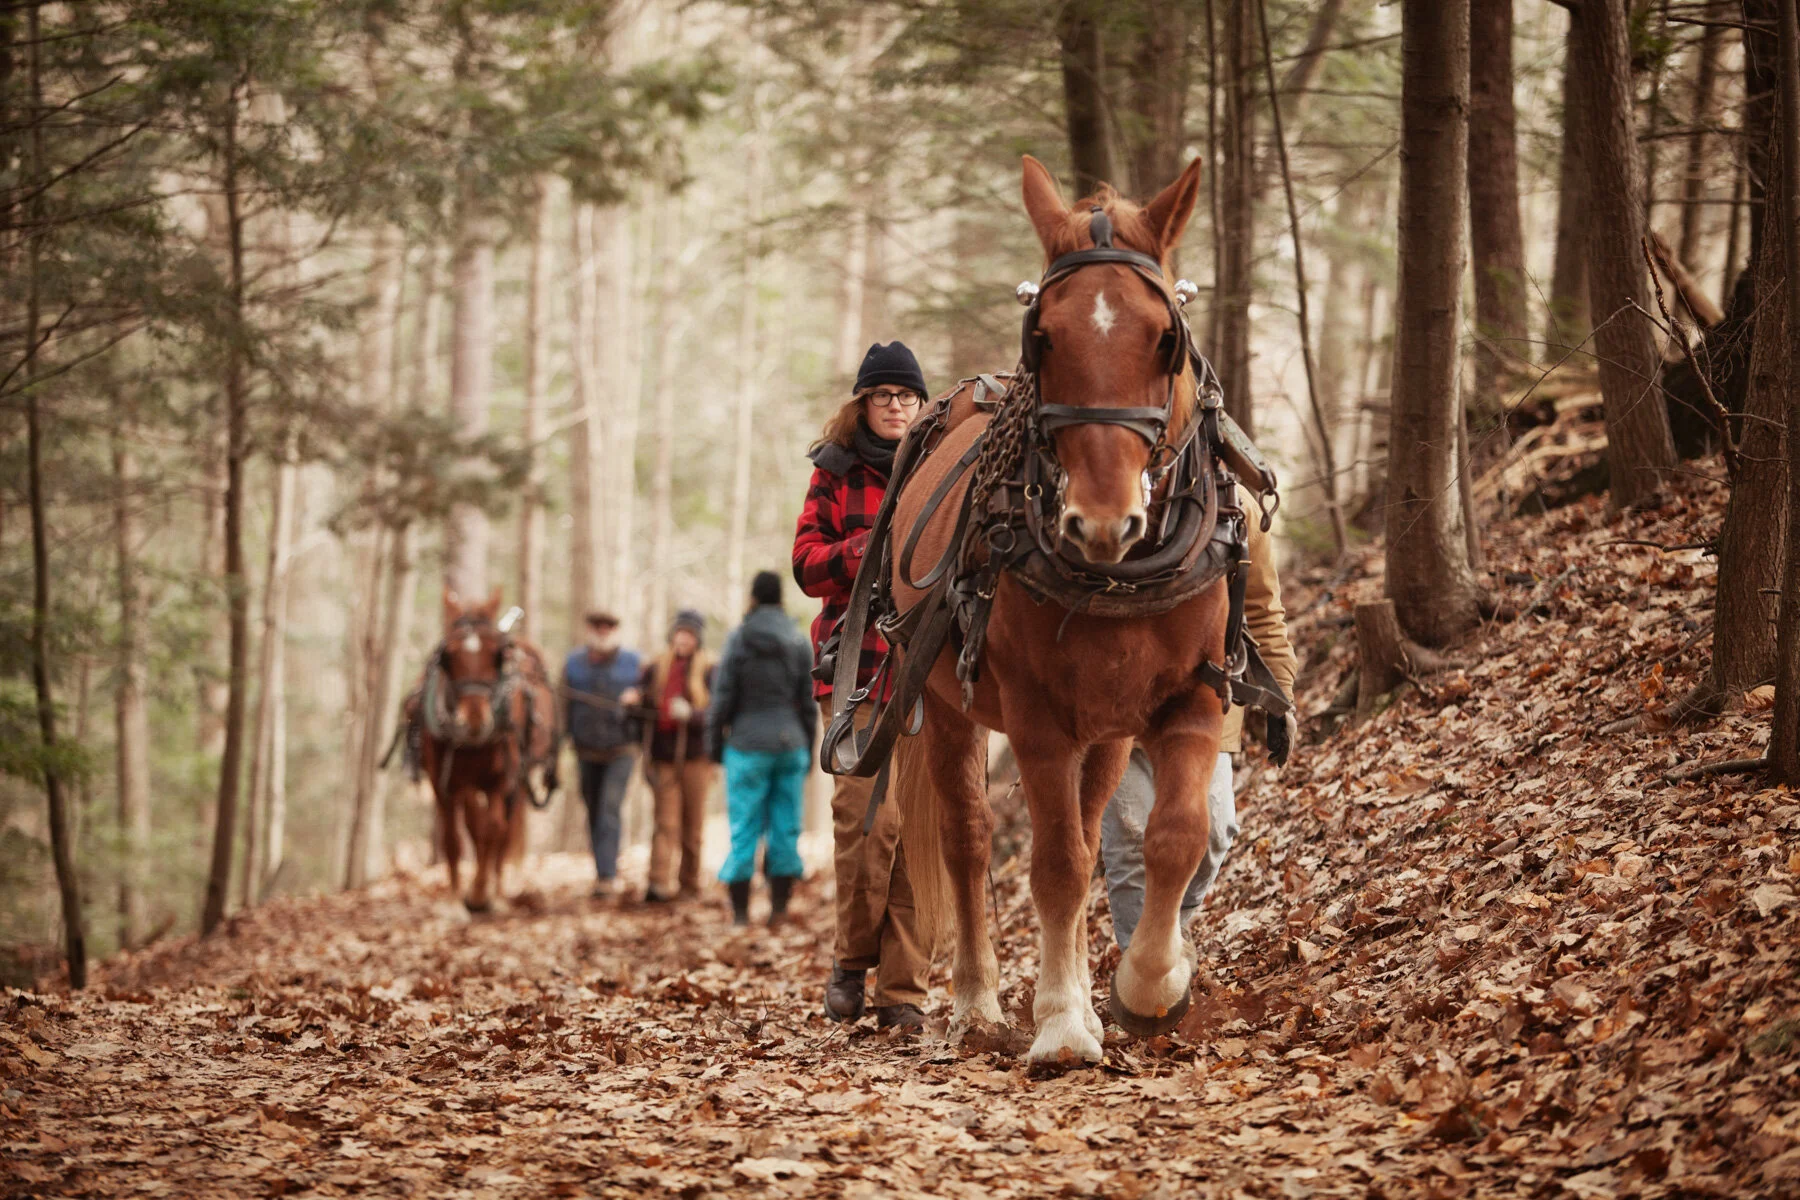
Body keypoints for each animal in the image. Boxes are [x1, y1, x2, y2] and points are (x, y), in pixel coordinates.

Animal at [413, 588, 560, 912]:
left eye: (497, 656)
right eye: (447, 656)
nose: (474, 719)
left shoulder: (503, 778)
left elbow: (493, 829)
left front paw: (481, 893)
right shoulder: (444, 781)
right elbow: (456, 836)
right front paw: (456, 901)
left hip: (520, 777)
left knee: (505, 829)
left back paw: (499, 891)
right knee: (474, 825)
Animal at [824, 155, 1287, 1066]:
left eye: (1166, 338)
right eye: (1043, 337)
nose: (1101, 522)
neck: (1121, 575)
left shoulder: (1194, 697)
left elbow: (1172, 836)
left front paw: (1148, 987)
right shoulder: (1037, 718)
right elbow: (1058, 865)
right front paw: (1064, 1023)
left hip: (1103, 727)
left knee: (1095, 819)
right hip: (946, 704)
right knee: (970, 842)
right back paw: (977, 1004)